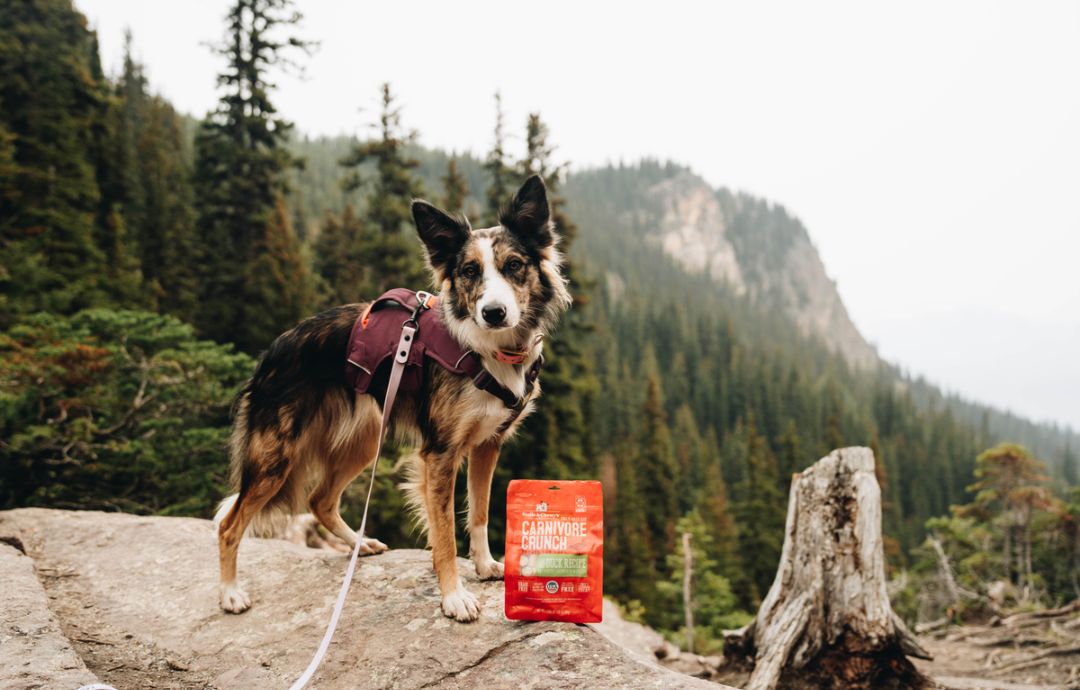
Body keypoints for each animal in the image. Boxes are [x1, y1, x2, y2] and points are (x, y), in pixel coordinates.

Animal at [212, 174, 574, 621]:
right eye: (470, 271)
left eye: (514, 266)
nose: (493, 313)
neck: (487, 351)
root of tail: (272, 352)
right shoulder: (439, 453)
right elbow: (444, 534)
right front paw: (453, 595)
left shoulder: (488, 443)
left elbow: (480, 512)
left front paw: (486, 564)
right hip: (275, 459)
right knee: (229, 524)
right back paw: (230, 592)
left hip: (364, 441)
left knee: (319, 500)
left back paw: (359, 544)